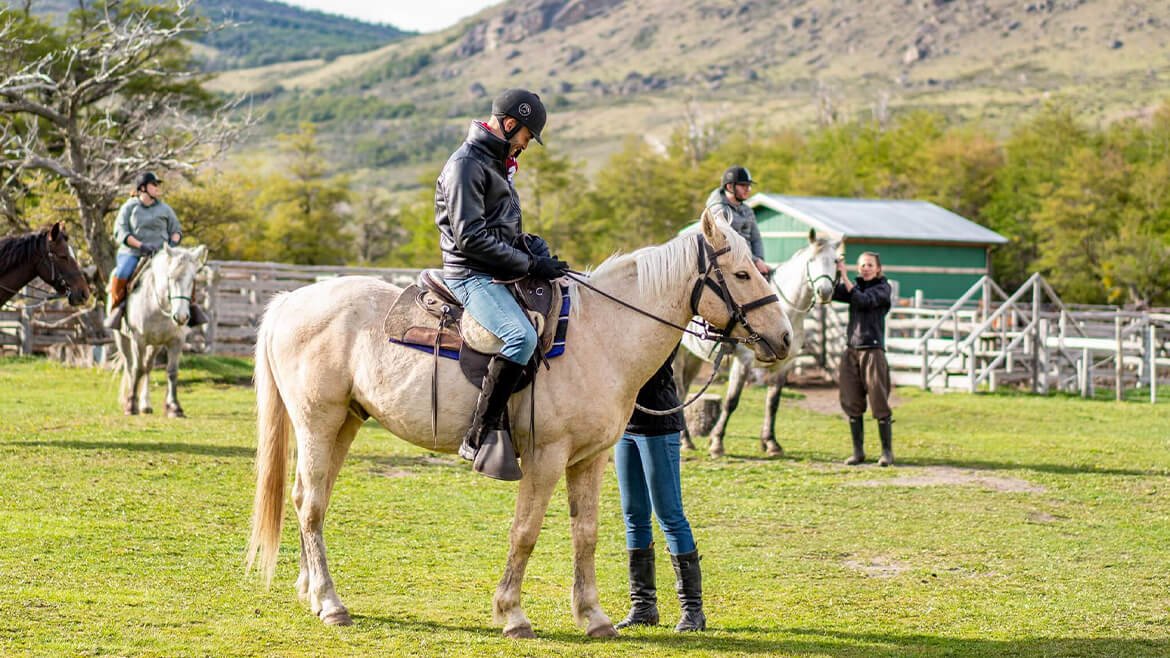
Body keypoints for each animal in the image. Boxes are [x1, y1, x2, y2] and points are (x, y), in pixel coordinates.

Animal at [112, 243, 207, 416]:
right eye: (171, 277)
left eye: (192, 280)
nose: (181, 317)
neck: (158, 306)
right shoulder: (139, 340)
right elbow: (137, 370)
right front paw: (131, 405)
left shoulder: (176, 341)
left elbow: (172, 372)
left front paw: (174, 406)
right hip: (122, 339)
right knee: (131, 367)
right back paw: (131, 400)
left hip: (155, 345)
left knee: (148, 367)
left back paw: (145, 404)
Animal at [248, 210, 795, 636]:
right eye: (742, 275)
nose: (786, 338)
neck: (600, 336)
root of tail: (290, 301)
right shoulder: (545, 457)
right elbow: (525, 531)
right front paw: (512, 614)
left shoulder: (591, 459)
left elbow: (586, 532)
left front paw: (593, 616)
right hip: (318, 423)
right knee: (311, 504)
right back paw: (330, 603)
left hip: (344, 424)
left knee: (306, 498)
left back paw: (310, 591)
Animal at [678, 229, 842, 456]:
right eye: (812, 260)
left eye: (835, 261)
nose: (824, 292)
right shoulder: (743, 363)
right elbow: (731, 401)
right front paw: (717, 442)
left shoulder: (783, 365)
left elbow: (773, 403)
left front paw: (771, 443)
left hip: (693, 357)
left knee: (684, 390)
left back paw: (686, 440)